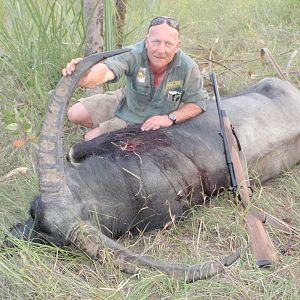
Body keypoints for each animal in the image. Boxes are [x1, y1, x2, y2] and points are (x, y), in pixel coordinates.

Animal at [5, 49, 300, 284]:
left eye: (56, 243)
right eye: (32, 210)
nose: (8, 241)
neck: (127, 180)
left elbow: (74, 149)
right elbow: (74, 150)